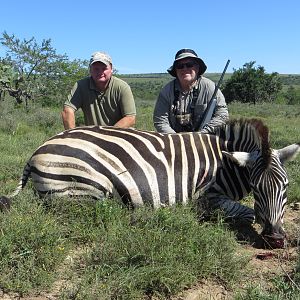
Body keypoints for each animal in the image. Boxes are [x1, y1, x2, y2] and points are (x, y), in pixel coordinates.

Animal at [0, 118, 300, 247]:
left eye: (286, 187)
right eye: (257, 189)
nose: (276, 239)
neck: (225, 164)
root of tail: (37, 150)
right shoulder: (207, 196)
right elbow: (248, 213)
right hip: (84, 190)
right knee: (98, 215)